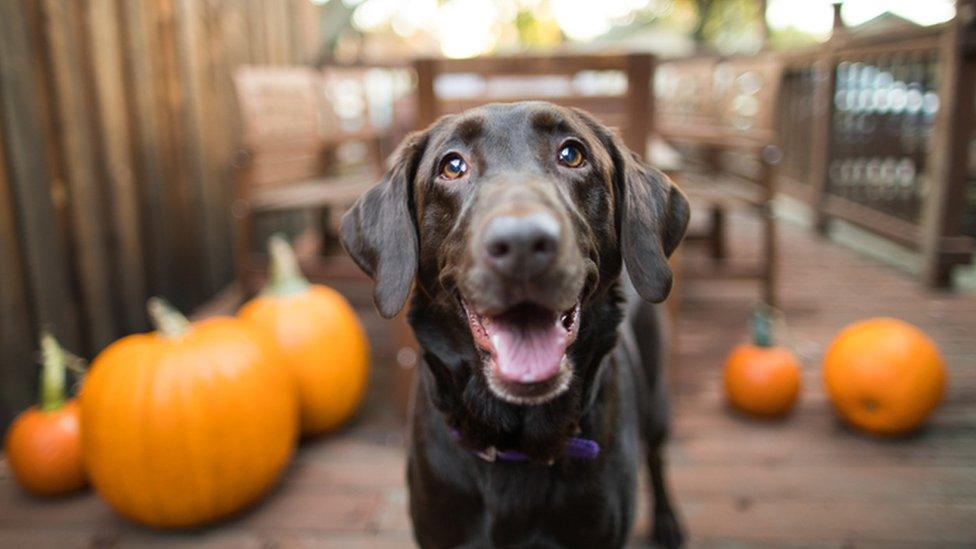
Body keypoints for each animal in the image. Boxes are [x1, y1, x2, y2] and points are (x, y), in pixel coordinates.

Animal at [340, 101, 692, 544]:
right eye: (452, 166)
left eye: (571, 154)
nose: (523, 242)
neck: (517, 443)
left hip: (657, 397)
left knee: (657, 455)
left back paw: (667, 520)